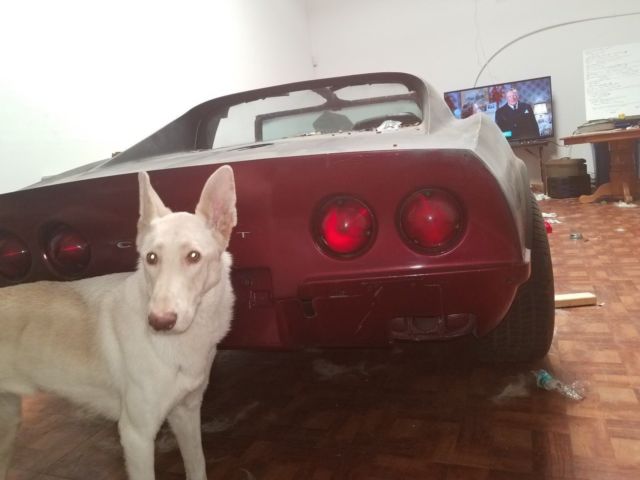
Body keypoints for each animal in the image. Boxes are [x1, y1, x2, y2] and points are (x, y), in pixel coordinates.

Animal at [0, 165, 237, 480]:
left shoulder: (186, 412)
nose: (158, 322)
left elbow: (197, 465)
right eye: (151, 258)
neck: (181, 344)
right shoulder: (136, 435)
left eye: (194, 256)